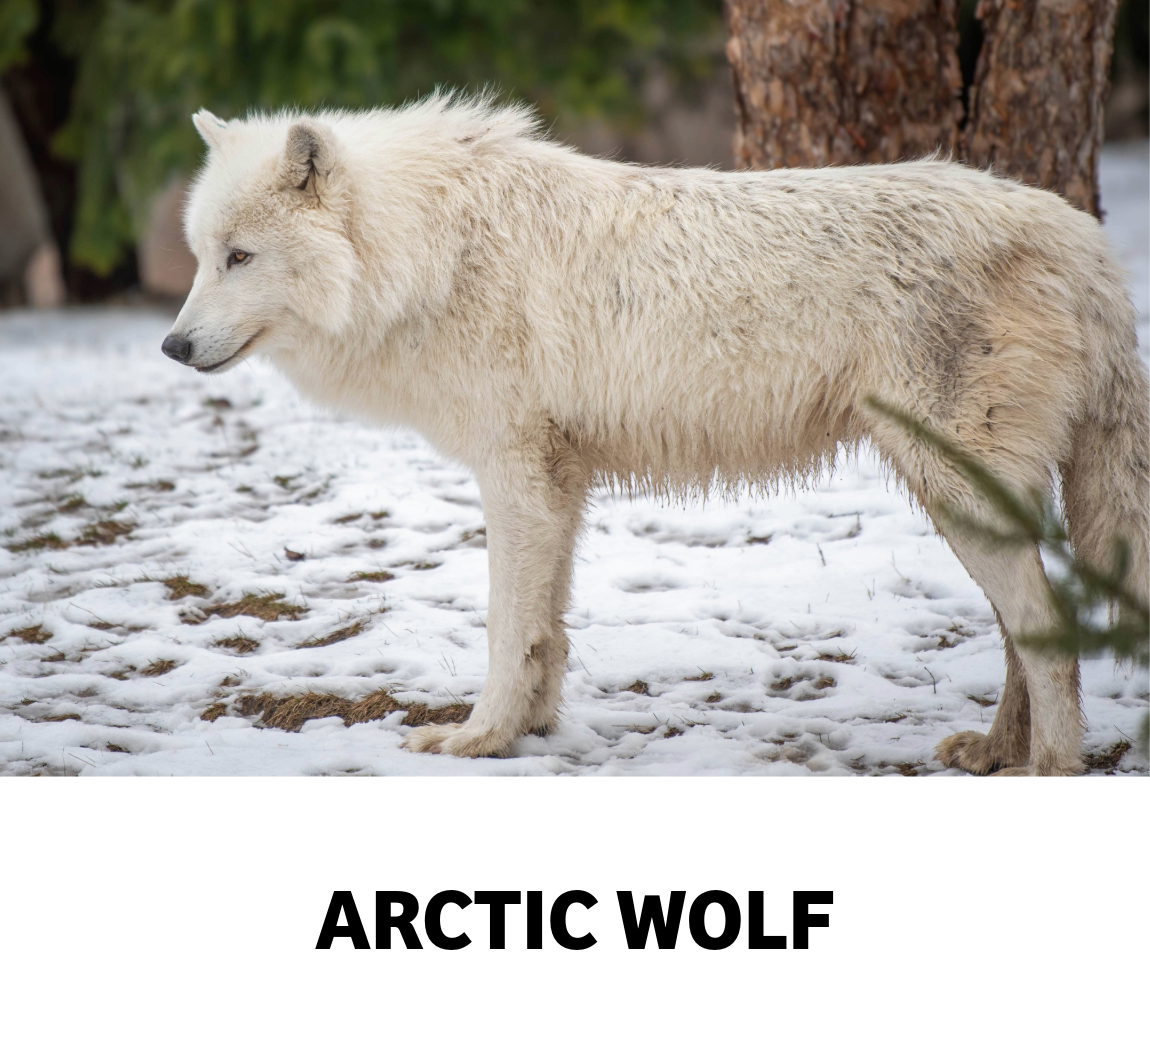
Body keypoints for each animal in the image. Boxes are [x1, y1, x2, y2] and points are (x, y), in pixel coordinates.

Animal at [163, 95, 1148, 774]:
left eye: (240, 258)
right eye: (203, 257)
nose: (172, 346)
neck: (432, 251)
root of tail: (1082, 238)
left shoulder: (513, 475)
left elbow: (503, 625)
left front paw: (476, 738)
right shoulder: (556, 482)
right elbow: (547, 630)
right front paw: (531, 730)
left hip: (955, 490)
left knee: (1046, 627)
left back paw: (1049, 768)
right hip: (964, 500)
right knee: (1028, 632)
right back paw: (993, 752)